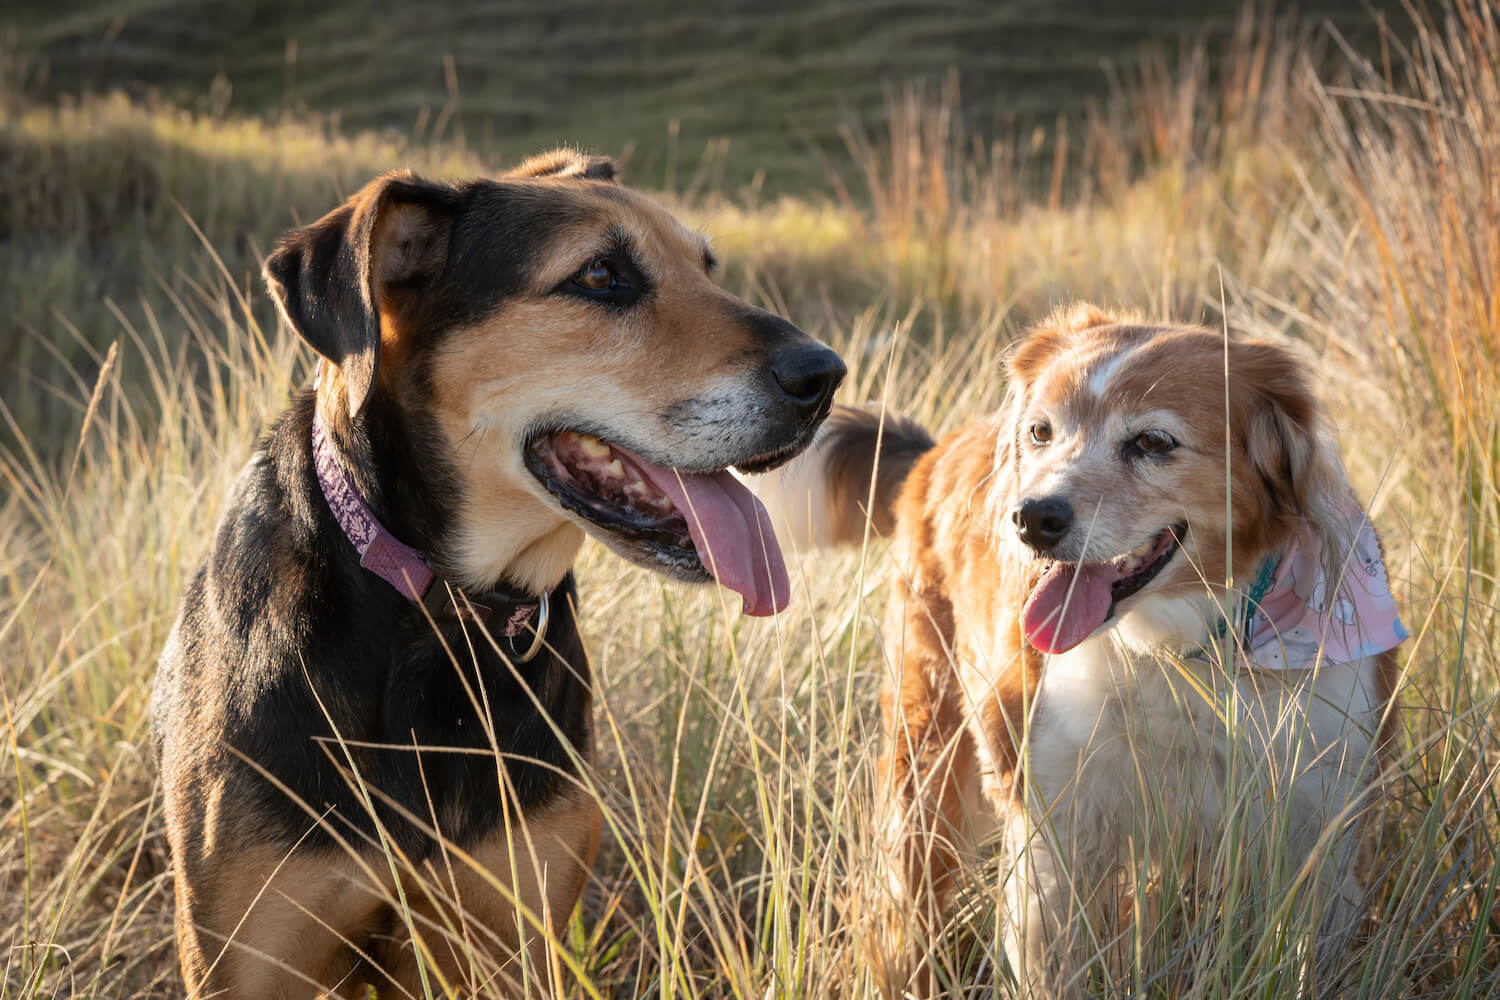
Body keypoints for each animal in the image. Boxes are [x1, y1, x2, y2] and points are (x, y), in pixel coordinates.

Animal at [152, 150, 846, 1000]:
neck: (442, 620)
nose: (826, 377)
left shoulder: (516, 934)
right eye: (601, 274)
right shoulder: (253, 955)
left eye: (708, 267)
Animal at [750, 307, 1404, 1000]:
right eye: (1041, 432)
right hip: (926, 759)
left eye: (1154, 443)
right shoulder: (1057, 843)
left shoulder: (1323, 837)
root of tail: (938, 446)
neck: (1188, 660)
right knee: (906, 906)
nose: (1031, 519)